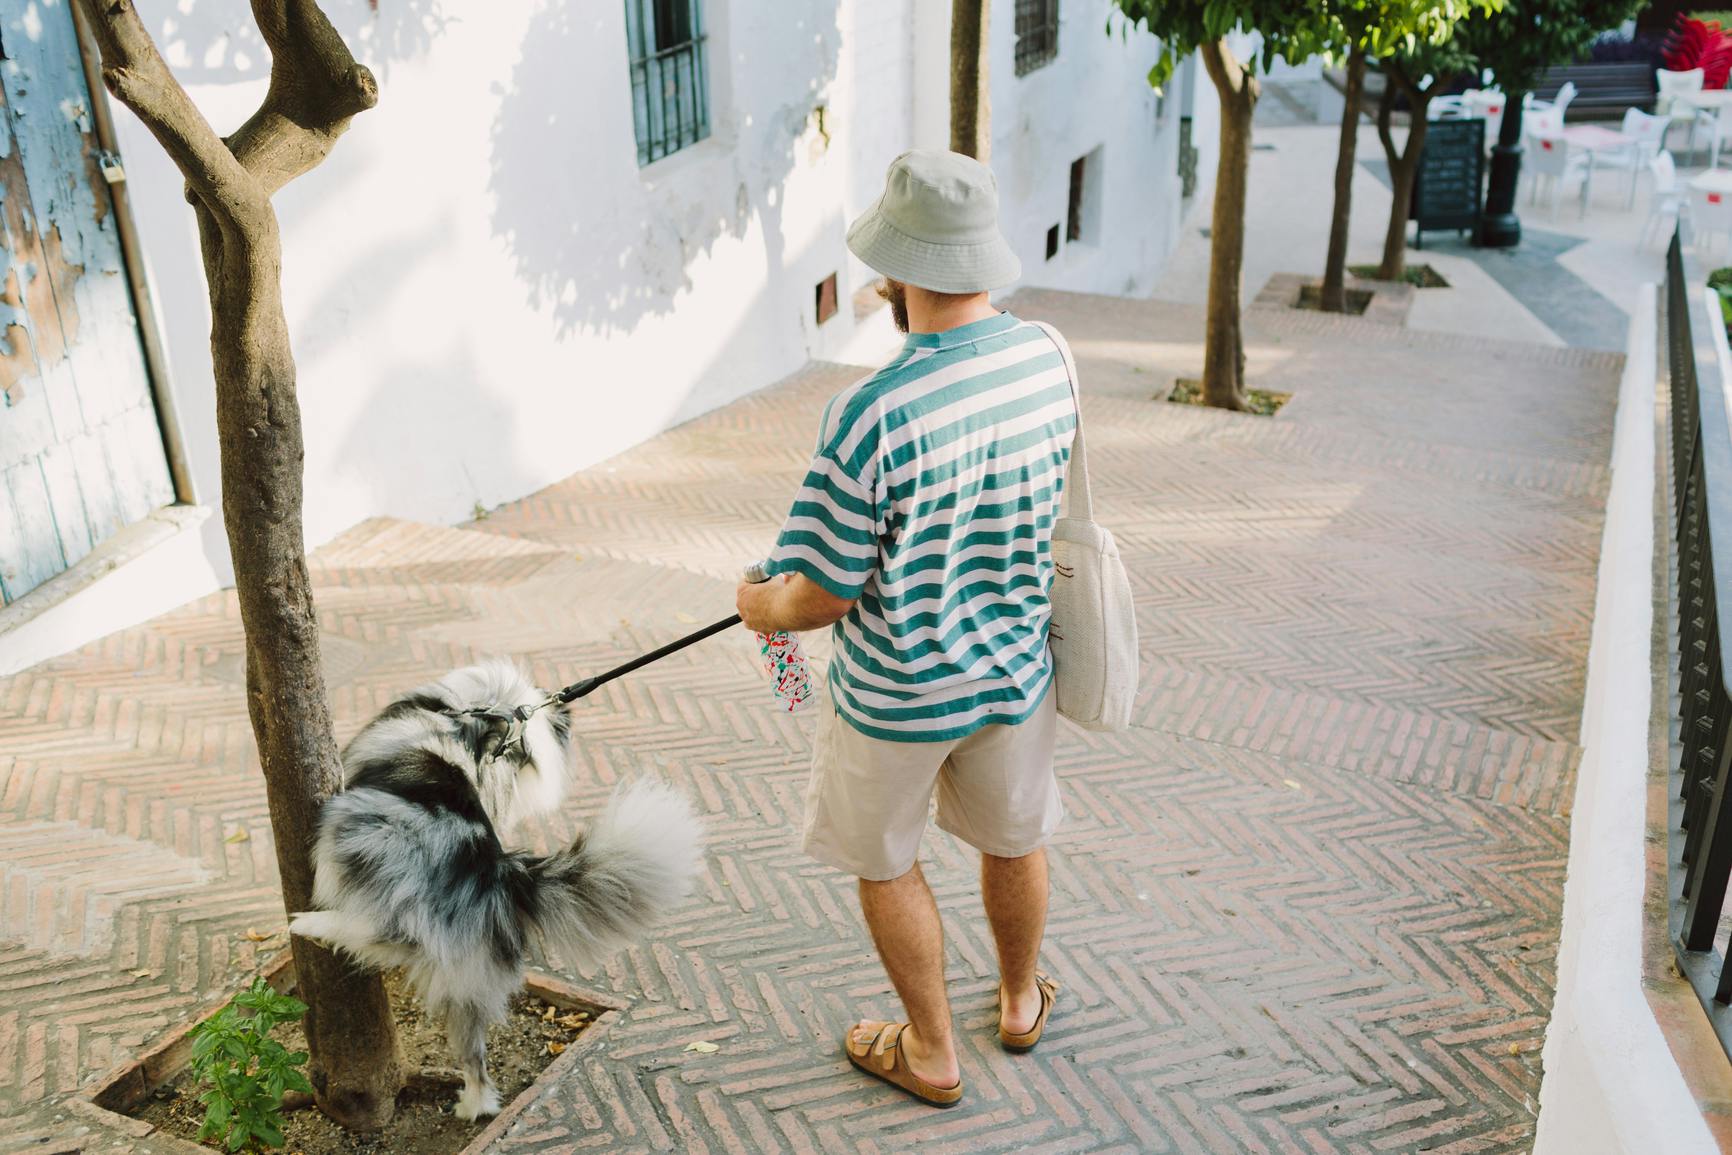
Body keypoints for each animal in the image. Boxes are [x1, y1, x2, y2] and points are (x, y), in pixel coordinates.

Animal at [290, 658, 703, 1122]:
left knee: (391, 932)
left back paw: (311, 924)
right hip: (470, 985)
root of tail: (503, 871)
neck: (471, 717)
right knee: (476, 1057)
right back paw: (475, 1105)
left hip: (358, 825)